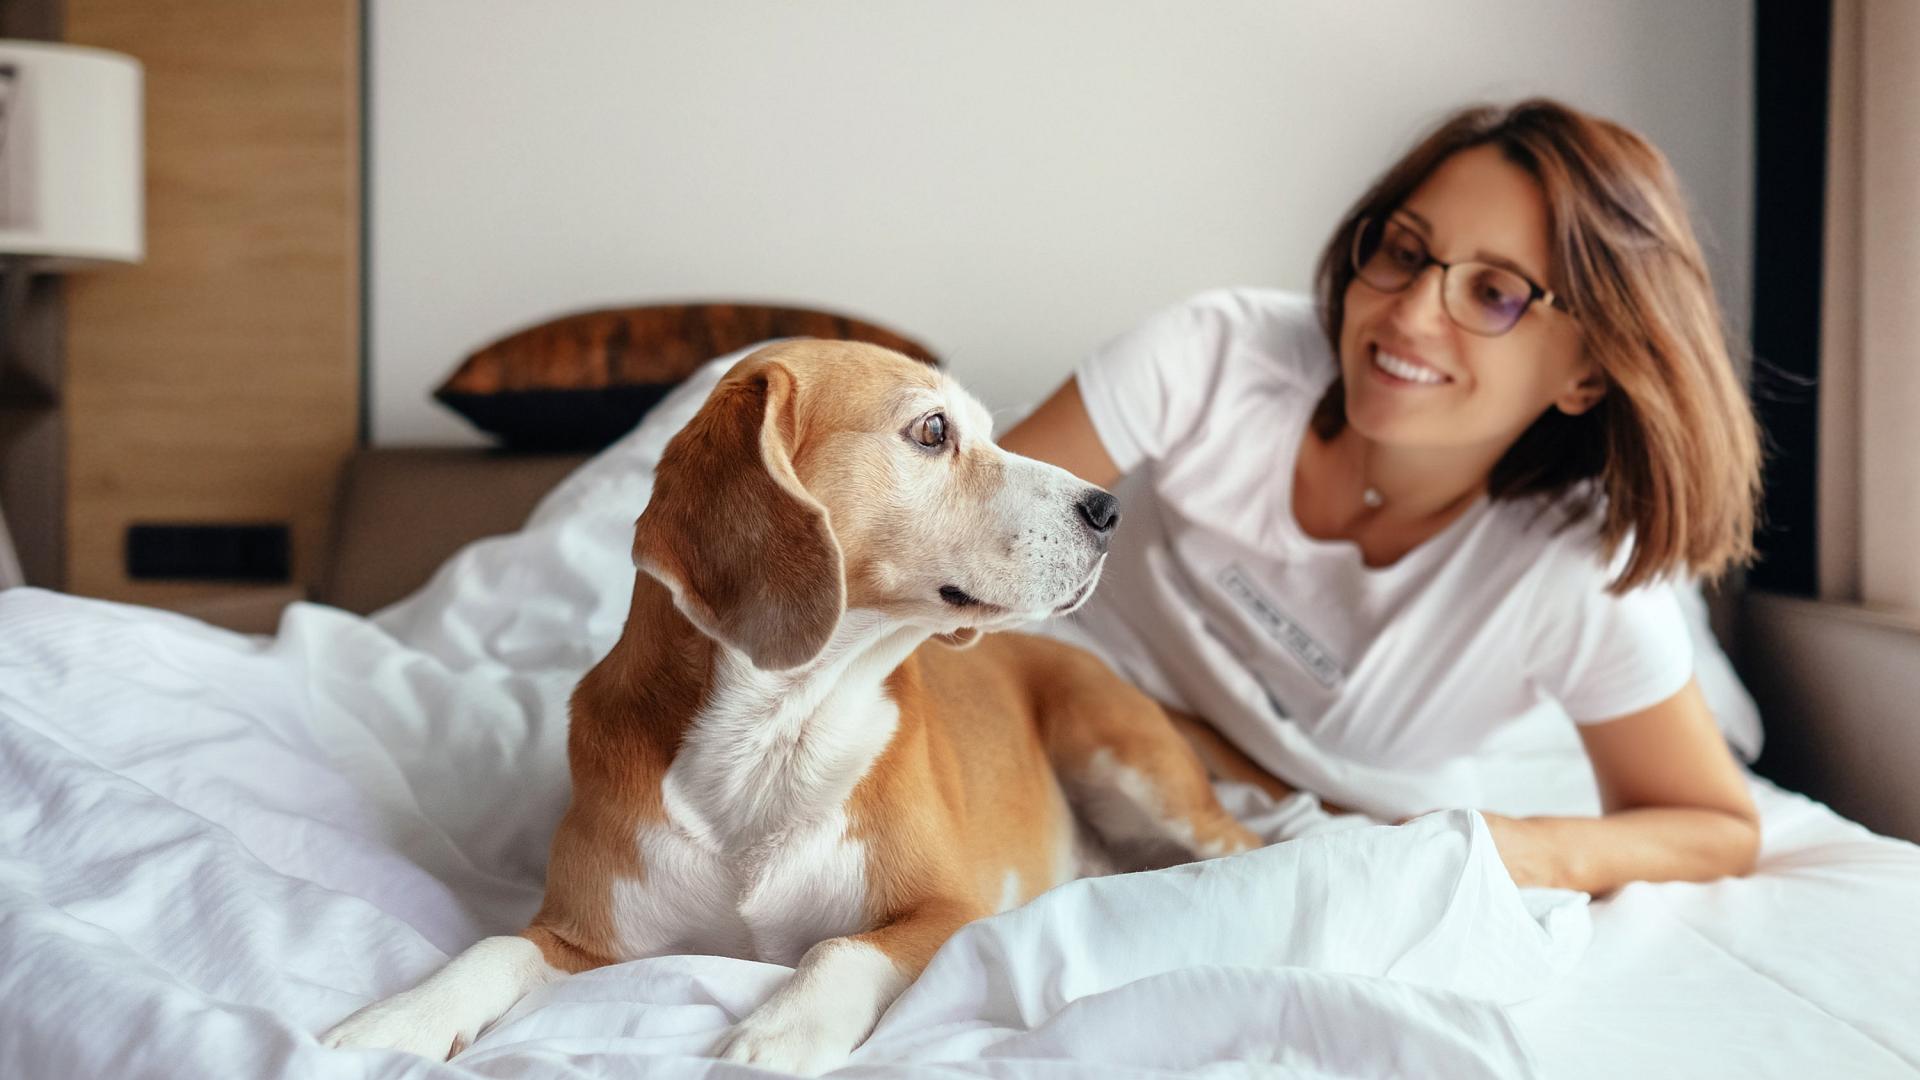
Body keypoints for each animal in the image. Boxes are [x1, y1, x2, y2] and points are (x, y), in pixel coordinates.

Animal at [326, 338, 1259, 1068]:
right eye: (933, 431)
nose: (1109, 509)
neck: (775, 728)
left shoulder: (950, 911)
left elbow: (841, 948)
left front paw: (779, 1031)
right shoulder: (581, 936)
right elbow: (489, 948)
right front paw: (398, 1017)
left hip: (1127, 761)